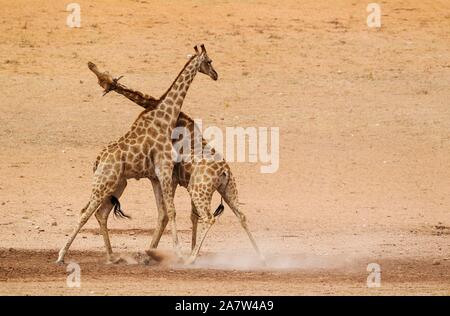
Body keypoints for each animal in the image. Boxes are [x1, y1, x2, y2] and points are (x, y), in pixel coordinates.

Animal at [56, 45, 218, 264]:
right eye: (209, 61)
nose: (216, 75)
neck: (166, 117)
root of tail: (98, 160)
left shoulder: (158, 175)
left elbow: (166, 212)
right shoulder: (164, 170)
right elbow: (171, 211)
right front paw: (177, 252)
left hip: (117, 184)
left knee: (101, 214)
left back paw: (112, 257)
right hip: (104, 183)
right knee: (85, 212)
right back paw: (62, 256)